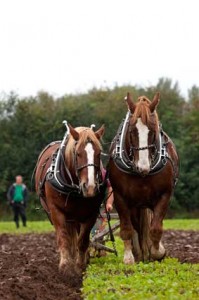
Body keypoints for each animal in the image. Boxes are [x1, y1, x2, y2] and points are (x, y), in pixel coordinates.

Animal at [34, 121, 105, 274]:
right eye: (77, 153)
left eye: (99, 153)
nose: (90, 187)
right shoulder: (56, 211)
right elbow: (63, 237)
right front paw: (65, 266)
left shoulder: (91, 213)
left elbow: (82, 240)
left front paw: (80, 266)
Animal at [108, 92, 180, 264]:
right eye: (132, 131)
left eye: (153, 131)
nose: (143, 167)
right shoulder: (120, 197)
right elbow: (127, 228)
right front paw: (129, 258)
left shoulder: (165, 195)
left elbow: (156, 228)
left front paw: (158, 252)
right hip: (135, 204)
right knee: (135, 227)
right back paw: (139, 253)